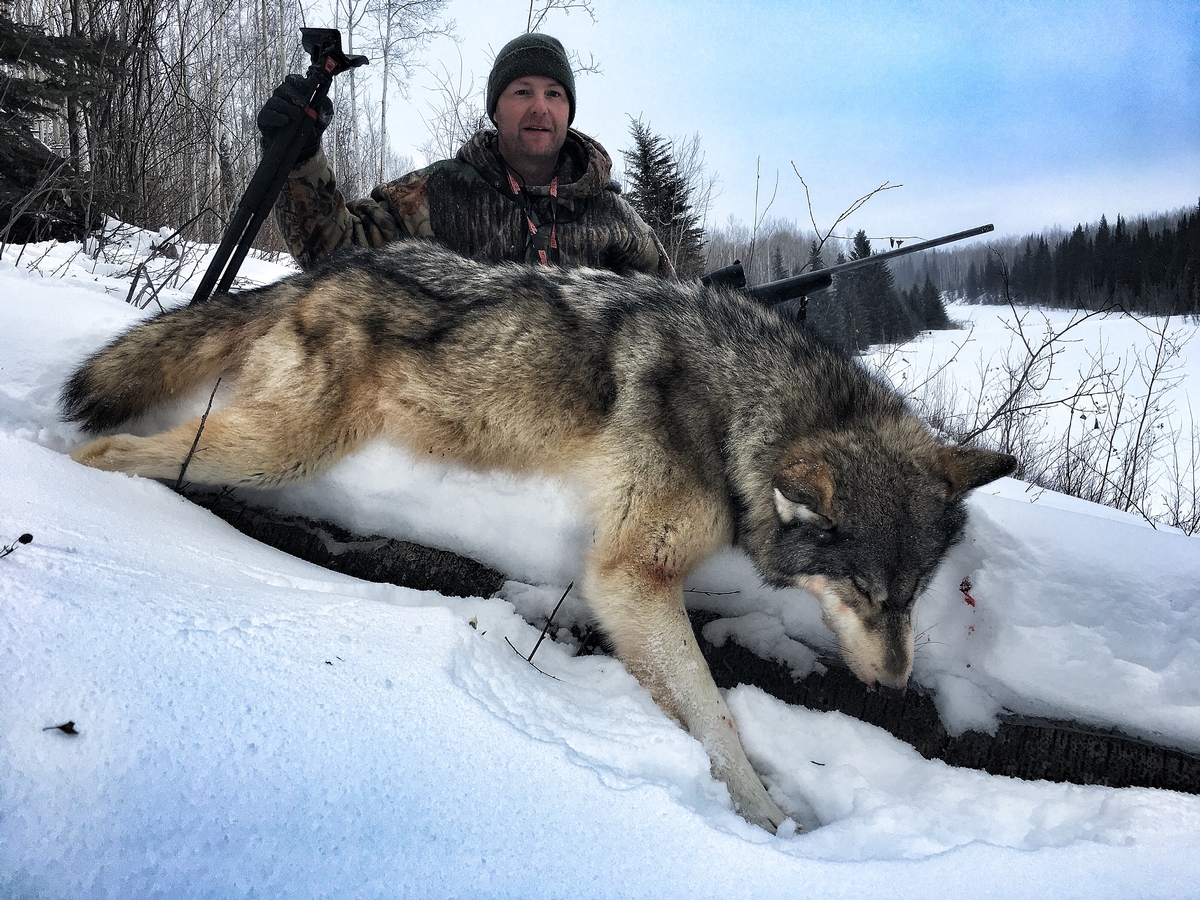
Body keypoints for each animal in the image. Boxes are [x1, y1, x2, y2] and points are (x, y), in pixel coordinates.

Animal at [62, 239, 1016, 832]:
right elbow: (714, 718)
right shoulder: (629, 575)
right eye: (863, 592)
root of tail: (327, 268)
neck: (738, 411)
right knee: (105, 452)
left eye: (912, 598)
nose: (895, 685)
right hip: (278, 451)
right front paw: (768, 819)